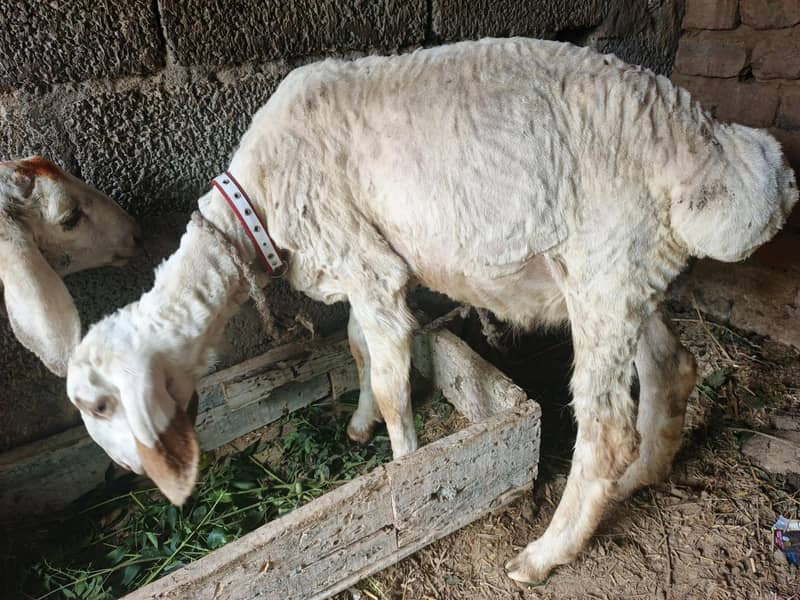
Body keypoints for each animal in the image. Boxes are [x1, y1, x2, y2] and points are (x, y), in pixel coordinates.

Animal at [66, 37, 797, 583]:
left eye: (100, 405)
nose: (130, 475)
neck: (258, 206)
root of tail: (714, 150)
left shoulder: (367, 263)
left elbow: (393, 385)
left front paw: (406, 468)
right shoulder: (367, 266)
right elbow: (360, 349)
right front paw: (359, 427)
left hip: (606, 265)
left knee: (607, 429)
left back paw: (544, 554)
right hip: (631, 273)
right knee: (673, 367)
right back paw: (643, 476)